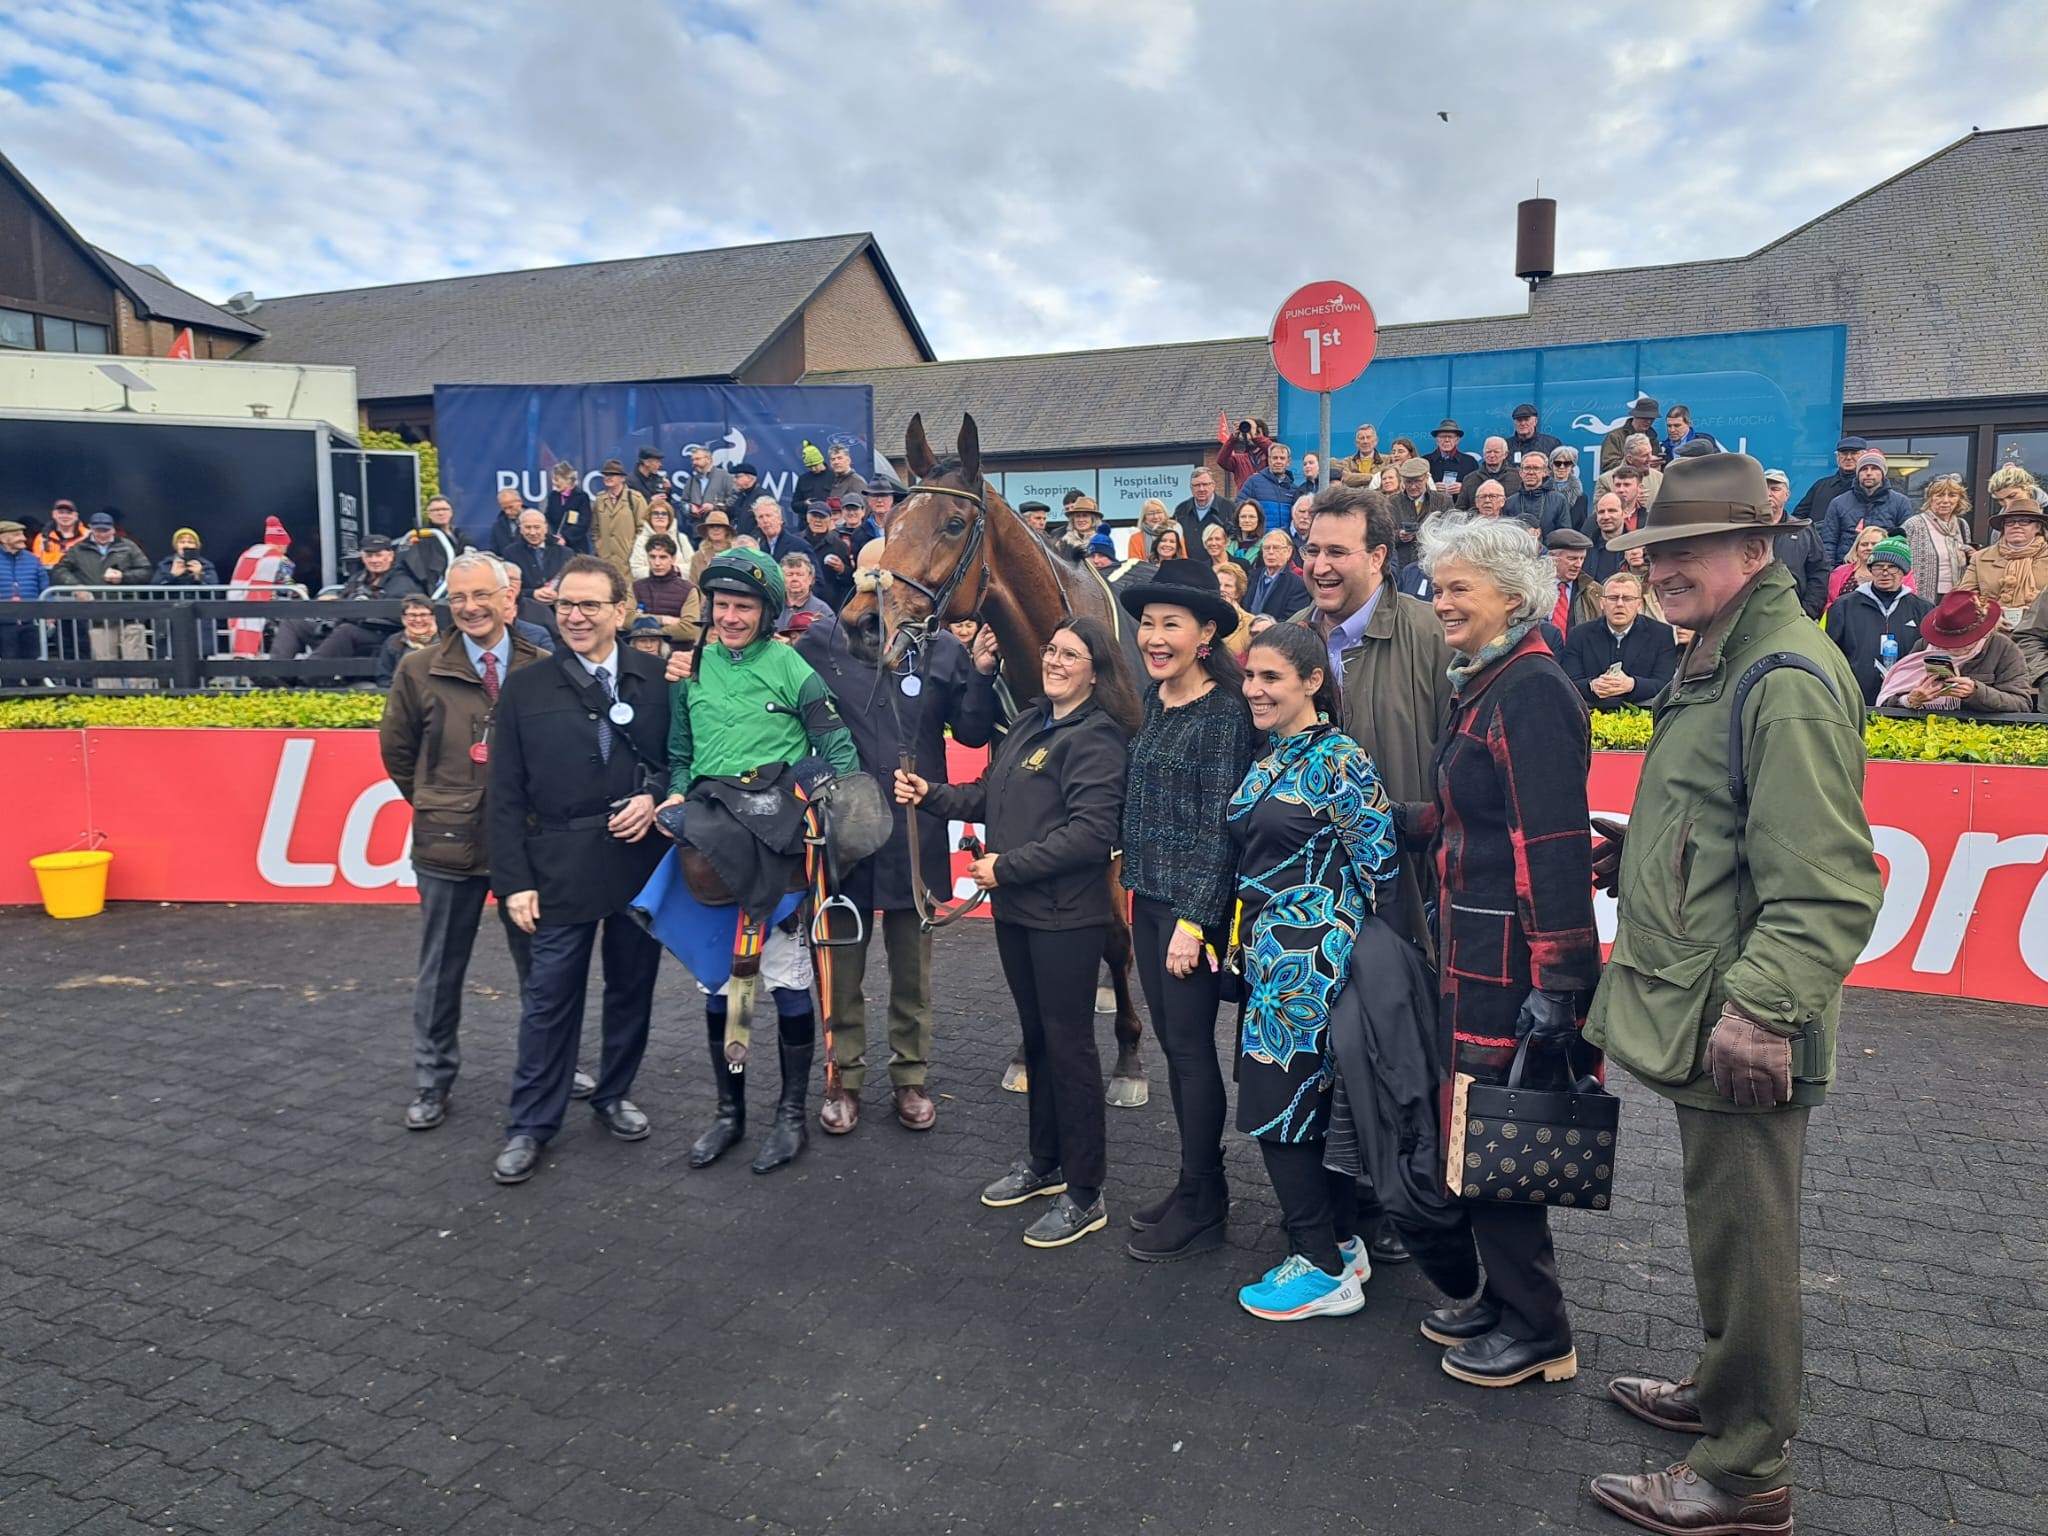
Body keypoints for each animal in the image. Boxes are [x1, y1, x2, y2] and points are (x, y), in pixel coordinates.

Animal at [835, 411, 1155, 1105]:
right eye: (890, 525)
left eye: (954, 525)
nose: (863, 624)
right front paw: (1024, 1055)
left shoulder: (1112, 825)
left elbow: (1119, 938)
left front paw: (1128, 1060)